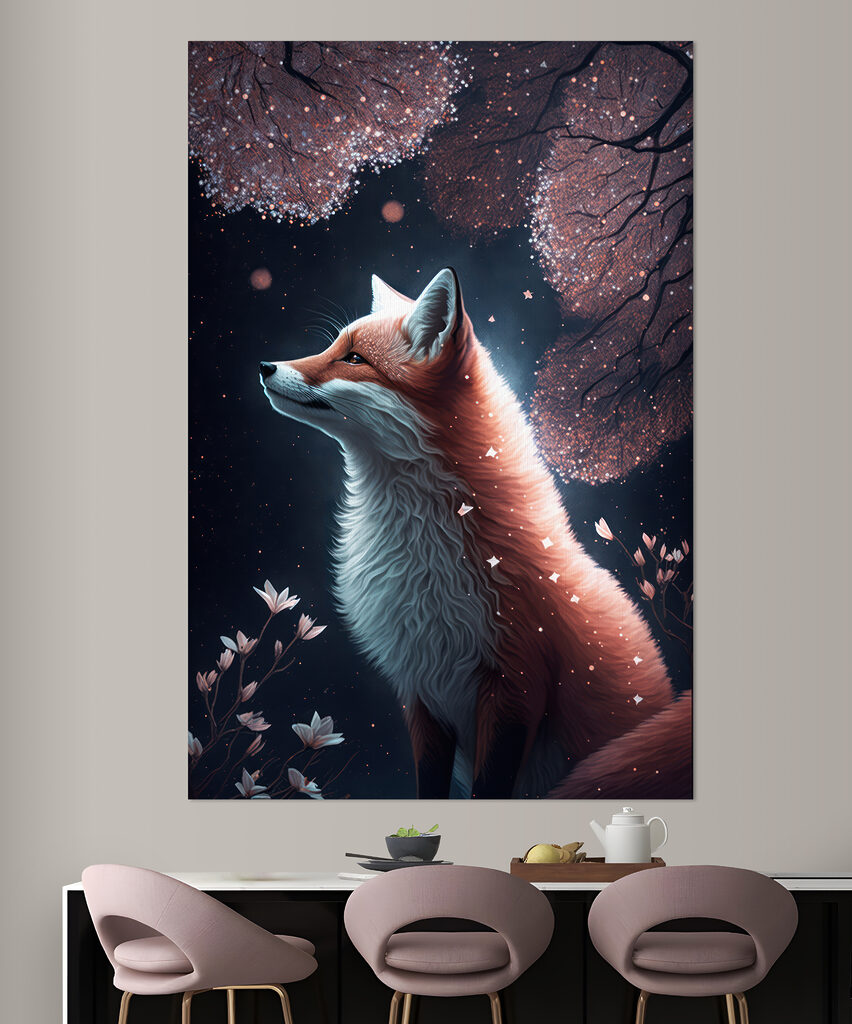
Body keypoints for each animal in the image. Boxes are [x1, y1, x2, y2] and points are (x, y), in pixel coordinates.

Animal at [259, 267, 692, 798]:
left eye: (354, 359)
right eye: (332, 346)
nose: (265, 366)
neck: (423, 559)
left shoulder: (516, 688)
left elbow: (490, 787)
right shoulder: (422, 691)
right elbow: (430, 788)